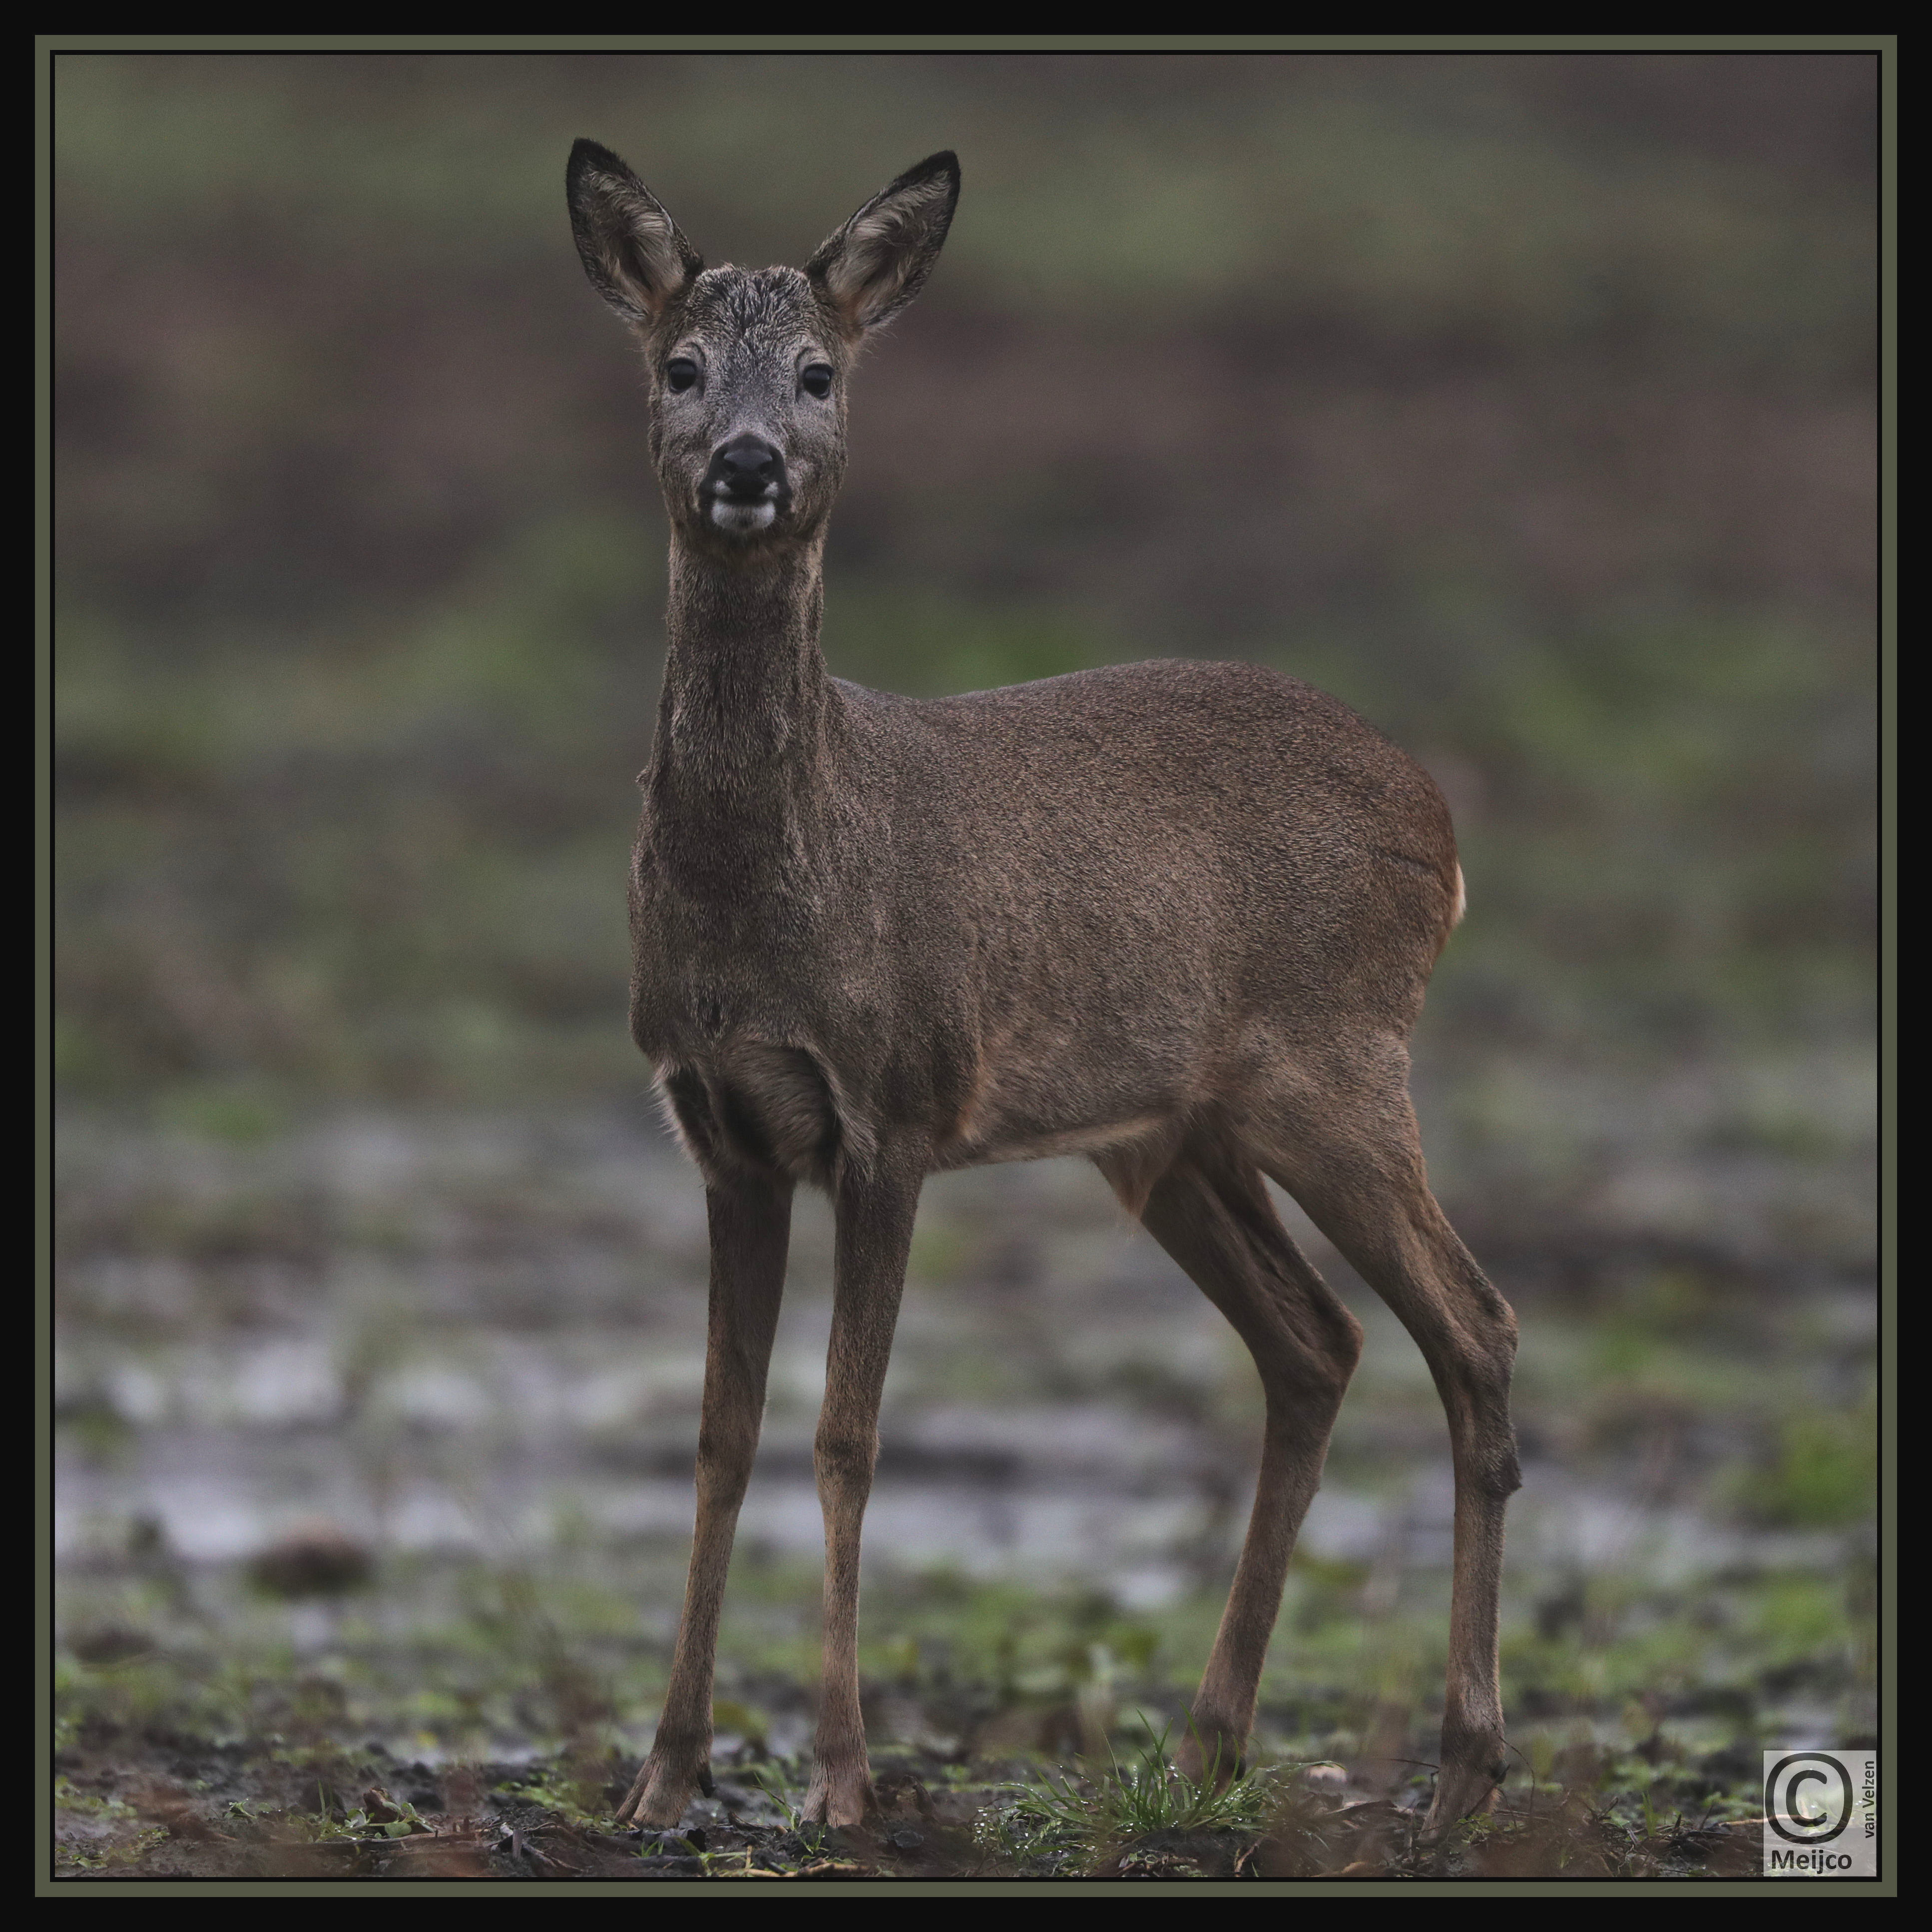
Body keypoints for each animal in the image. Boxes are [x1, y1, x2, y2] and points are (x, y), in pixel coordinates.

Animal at [564, 139, 1521, 1841]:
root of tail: (1441, 823)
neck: (772, 890)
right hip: (1167, 1131)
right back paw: (1207, 1747)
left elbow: (847, 1433)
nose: (745, 460)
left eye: (818, 372)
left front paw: (840, 1779)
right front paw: (662, 1774)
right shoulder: (721, 1130)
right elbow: (720, 1438)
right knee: (1316, 1342)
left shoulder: (889, 1108)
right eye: (676, 365)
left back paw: (1459, 1775)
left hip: (1335, 1063)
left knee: (1471, 1325)